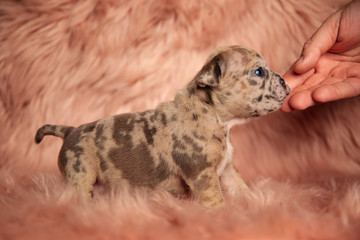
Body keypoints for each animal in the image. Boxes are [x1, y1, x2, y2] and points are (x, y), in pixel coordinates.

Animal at [35, 46, 292, 207]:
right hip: (81, 173)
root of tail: (70, 131)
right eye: (258, 72)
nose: (284, 81)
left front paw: (254, 202)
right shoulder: (203, 176)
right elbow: (216, 201)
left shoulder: (227, 170)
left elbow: (240, 189)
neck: (216, 117)